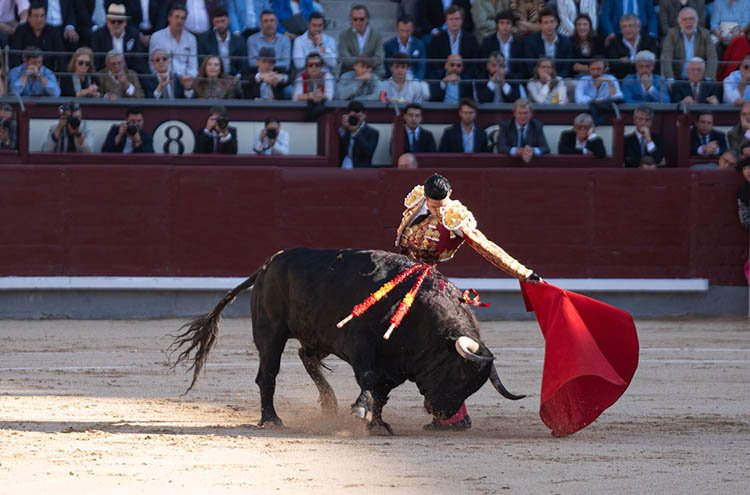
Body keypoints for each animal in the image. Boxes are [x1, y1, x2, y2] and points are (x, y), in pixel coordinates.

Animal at [169, 248, 524, 434]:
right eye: (459, 373)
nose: (450, 416)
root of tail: (267, 265)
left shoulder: (395, 364)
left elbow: (381, 393)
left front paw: (378, 424)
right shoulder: (362, 346)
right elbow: (367, 380)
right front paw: (362, 412)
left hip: (316, 333)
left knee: (306, 356)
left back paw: (328, 403)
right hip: (271, 332)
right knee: (267, 375)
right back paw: (271, 419)